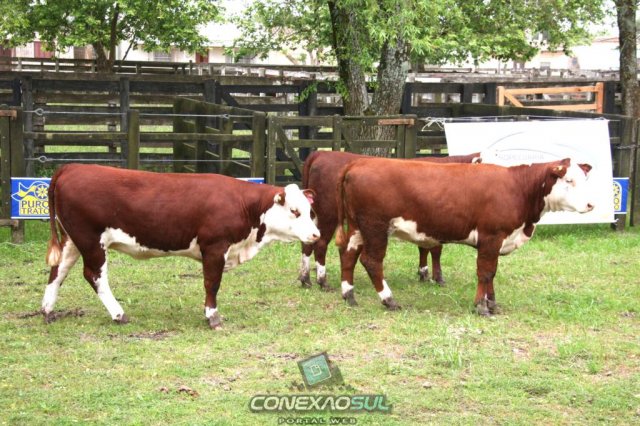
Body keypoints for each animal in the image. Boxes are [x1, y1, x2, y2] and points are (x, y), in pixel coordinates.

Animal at [42, 164, 320, 329]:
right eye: (294, 211)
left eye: (309, 211)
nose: (316, 234)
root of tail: (72, 167)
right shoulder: (214, 247)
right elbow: (212, 283)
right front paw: (212, 316)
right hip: (91, 241)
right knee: (94, 276)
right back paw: (119, 314)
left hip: (72, 240)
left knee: (58, 270)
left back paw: (47, 310)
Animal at [299, 150, 482, 290]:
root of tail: (322, 153)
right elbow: (435, 249)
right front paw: (437, 278)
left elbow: (424, 248)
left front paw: (423, 273)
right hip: (328, 215)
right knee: (321, 244)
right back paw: (322, 281)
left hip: (314, 216)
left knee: (307, 244)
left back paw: (305, 278)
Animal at [335, 157, 594, 315]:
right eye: (569, 180)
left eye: (585, 179)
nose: (591, 204)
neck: (517, 188)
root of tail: (360, 162)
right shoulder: (491, 236)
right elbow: (485, 272)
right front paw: (481, 306)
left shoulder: (497, 240)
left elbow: (492, 273)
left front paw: (492, 303)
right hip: (375, 227)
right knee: (371, 261)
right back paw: (388, 300)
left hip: (358, 228)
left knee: (348, 255)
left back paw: (349, 295)